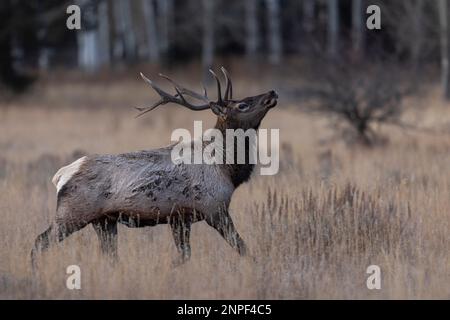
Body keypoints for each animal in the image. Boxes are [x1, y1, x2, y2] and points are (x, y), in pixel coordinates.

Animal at [30, 67, 278, 268]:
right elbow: (243, 248)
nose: (272, 93)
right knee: (39, 242)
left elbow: (185, 255)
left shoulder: (180, 218)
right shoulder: (214, 209)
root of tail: (60, 176)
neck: (226, 169)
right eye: (242, 104)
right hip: (72, 213)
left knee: (110, 256)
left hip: (103, 221)